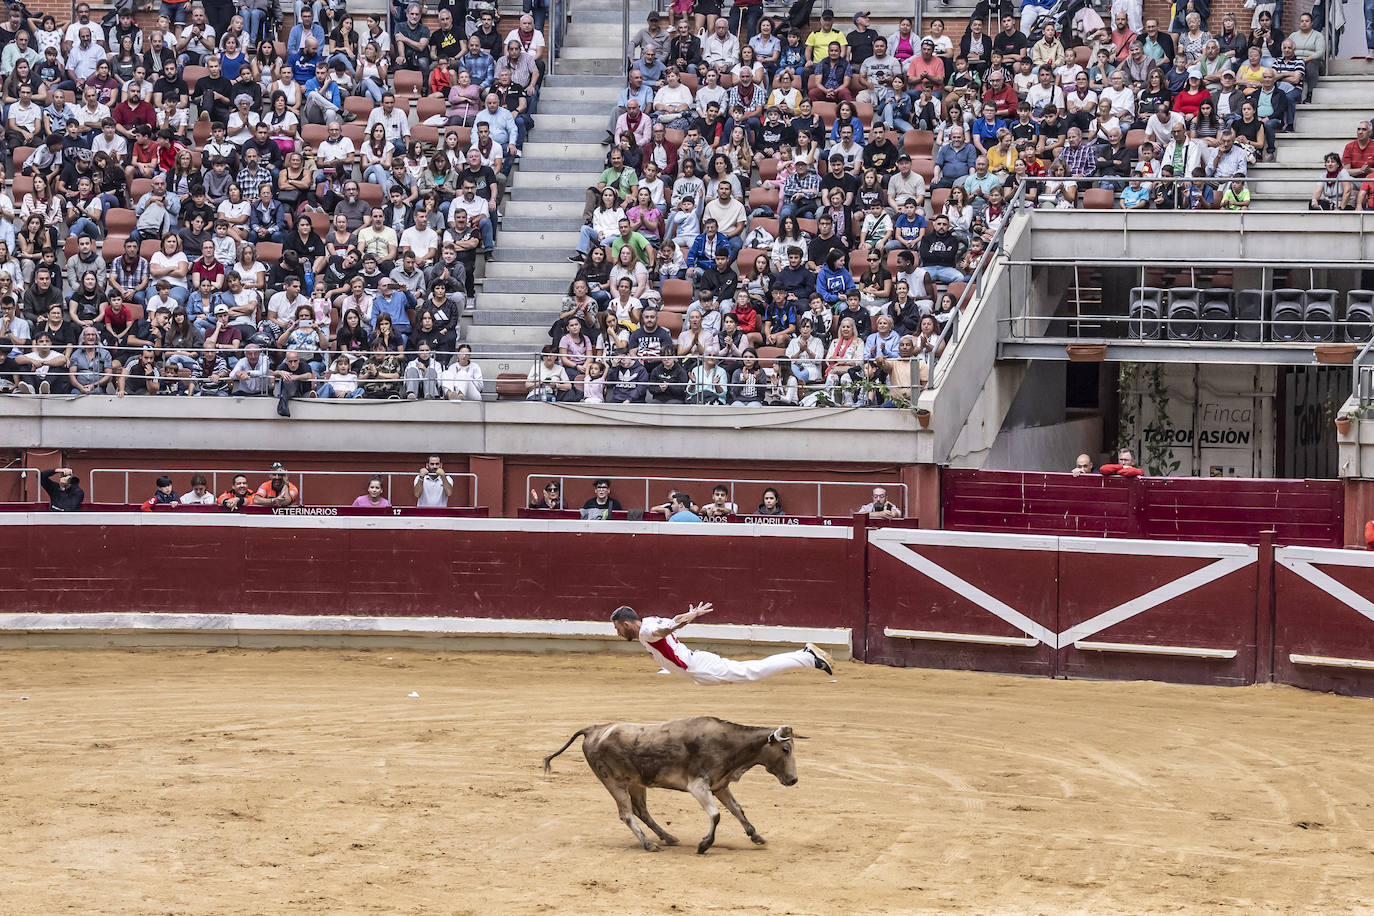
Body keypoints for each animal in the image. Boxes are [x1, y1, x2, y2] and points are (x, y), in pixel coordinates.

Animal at [544, 714, 802, 851]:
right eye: (785, 749)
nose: (793, 779)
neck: (729, 745)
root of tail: (594, 729)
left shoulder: (720, 786)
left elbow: (737, 810)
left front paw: (756, 836)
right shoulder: (698, 786)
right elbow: (716, 815)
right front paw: (704, 845)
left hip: (636, 783)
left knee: (641, 811)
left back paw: (667, 837)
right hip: (613, 782)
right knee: (626, 814)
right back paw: (649, 844)